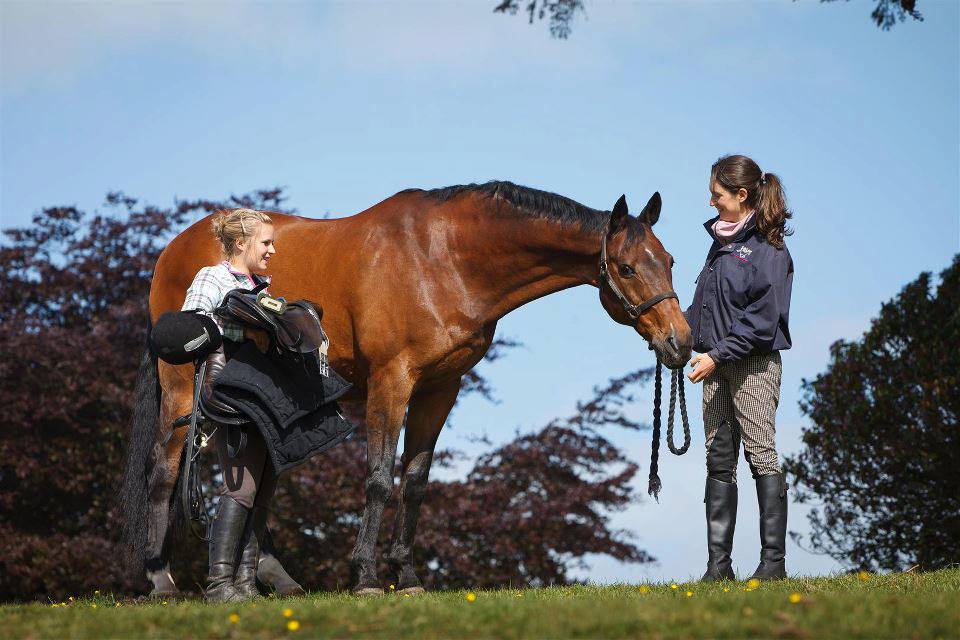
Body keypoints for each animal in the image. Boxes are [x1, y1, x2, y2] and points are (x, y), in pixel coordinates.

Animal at [120, 180, 692, 596]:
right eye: (626, 267)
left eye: (669, 262)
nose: (681, 343)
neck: (444, 259)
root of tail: (173, 248)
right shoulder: (392, 382)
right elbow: (378, 479)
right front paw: (366, 579)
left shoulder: (441, 388)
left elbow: (414, 482)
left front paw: (409, 577)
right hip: (182, 387)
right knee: (164, 469)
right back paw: (162, 582)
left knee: (253, 478)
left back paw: (270, 582)